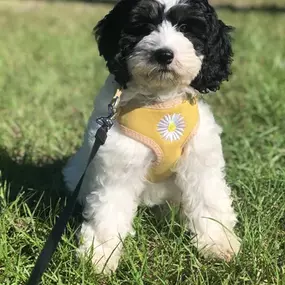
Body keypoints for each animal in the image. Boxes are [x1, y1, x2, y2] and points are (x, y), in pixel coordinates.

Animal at [62, 0, 240, 272]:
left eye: (186, 28)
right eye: (143, 27)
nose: (164, 54)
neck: (160, 101)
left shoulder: (200, 158)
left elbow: (209, 199)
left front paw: (218, 243)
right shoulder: (119, 162)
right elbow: (108, 210)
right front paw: (99, 255)